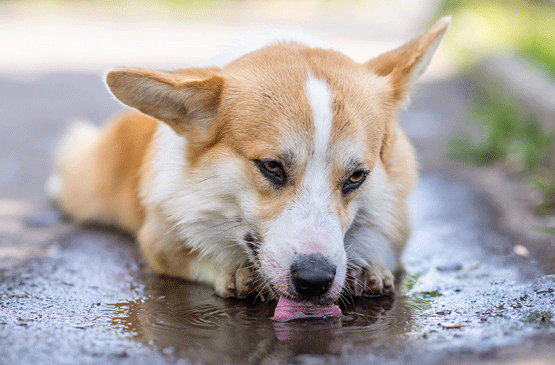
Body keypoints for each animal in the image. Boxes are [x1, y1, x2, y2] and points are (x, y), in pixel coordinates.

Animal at [47, 18, 452, 306]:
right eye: (271, 166)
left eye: (356, 176)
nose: (315, 281)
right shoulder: (160, 239)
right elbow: (190, 254)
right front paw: (231, 271)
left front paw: (368, 269)